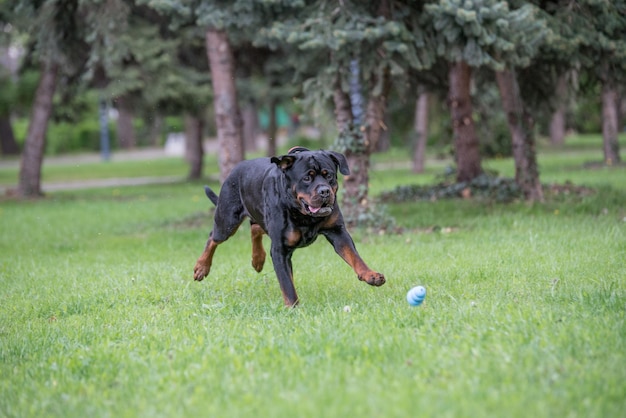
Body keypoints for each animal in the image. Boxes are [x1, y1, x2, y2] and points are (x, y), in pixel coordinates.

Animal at [191, 147, 386, 306]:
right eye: (307, 178)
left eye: (329, 175)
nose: (324, 191)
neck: (303, 215)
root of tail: (236, 169)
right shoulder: (279, 249)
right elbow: (286, 283)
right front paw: (293, 307)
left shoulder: (337, 231)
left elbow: (354, 256)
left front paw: (371, 274)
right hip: (227, 220)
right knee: (214, 237)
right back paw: (201, 267)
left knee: (255, 227)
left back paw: (257, 259)